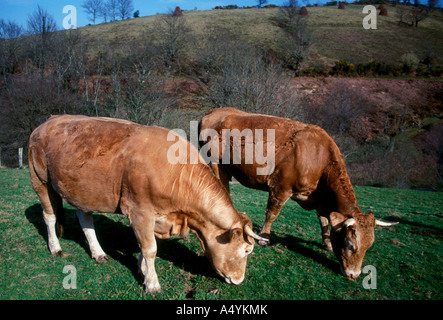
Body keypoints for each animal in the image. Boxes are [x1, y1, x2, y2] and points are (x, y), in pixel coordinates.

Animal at [28, 115, 268, 292]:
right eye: (247, 250)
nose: (239, 280)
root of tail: (50, 120)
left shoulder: (154, 216)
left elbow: (144, 246)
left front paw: (142, 269)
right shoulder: (140, 211)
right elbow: (150, 248)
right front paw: (152, 284)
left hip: (82, 190)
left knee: (85, 219)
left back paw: (98, 253)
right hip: (40, 181)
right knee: (49, 216)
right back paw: (55, 248)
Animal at [199, 107, 398, 278]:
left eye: (369, 246)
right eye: (349, 244)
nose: (353, 275)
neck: (320, 158)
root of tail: (215, 111)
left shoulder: (319, 199)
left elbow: (324, 221)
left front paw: (327, 244)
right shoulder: (280, 187)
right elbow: (271, 214)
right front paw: (264, 238)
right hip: (215, 164)